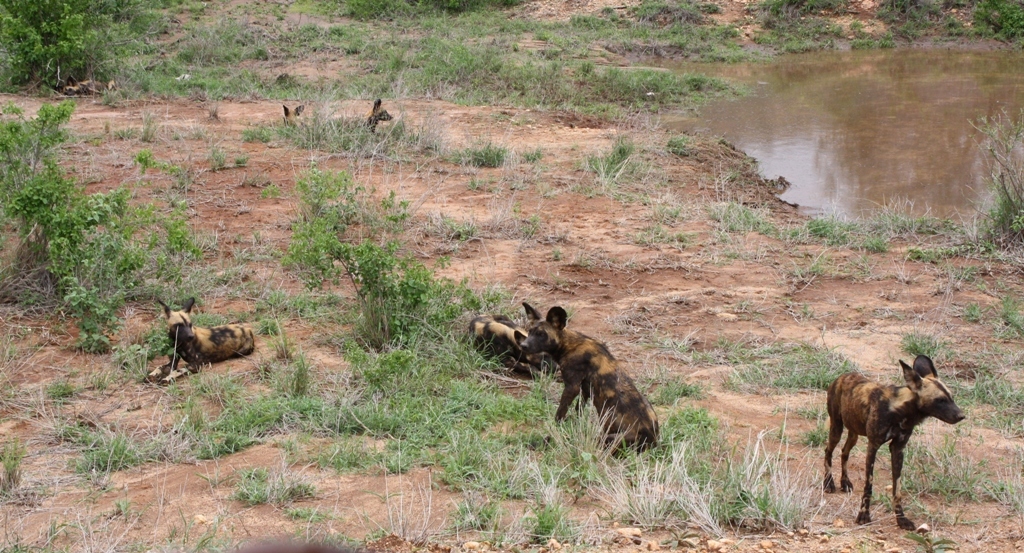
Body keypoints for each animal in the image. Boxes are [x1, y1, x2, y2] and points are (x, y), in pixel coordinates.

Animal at [516, 305, 659, 450]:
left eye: (541, 334)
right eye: (530, 332)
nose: (523, 346)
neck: (568, 345)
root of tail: (654, 440)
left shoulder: (571, 387)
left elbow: (559, 415)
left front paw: (552, 433)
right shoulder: (584, 390)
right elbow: (578, 411)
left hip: (609, 438)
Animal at [819, 354, 962, 532]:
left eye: (951, 397)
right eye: (940, 400)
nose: (961, 415)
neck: (899, 411)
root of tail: (842, 376)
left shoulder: (898, 448)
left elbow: (897, 489)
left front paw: (901, 519)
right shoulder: (873, 446)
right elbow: (868, 486)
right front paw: (864, 515)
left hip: (854, 434)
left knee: (844, 452)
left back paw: (844, 482)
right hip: (836, 429)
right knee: (828, 451)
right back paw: (828, 483)